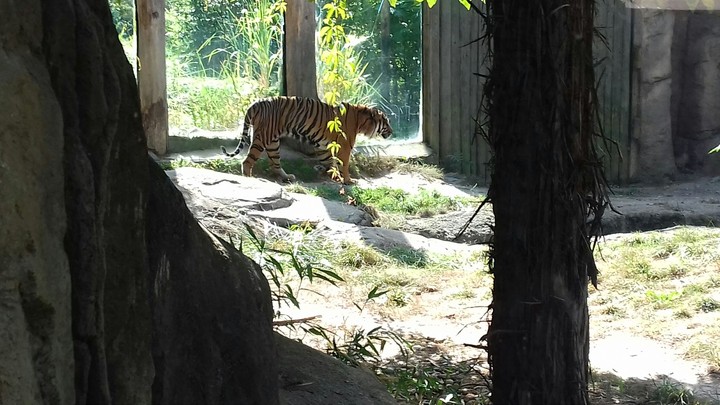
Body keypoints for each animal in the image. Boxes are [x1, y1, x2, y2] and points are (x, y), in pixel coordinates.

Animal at [220, 96, 393, 184]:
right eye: (386, 122)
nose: (392, 132)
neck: (360, 121)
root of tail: (254, 104)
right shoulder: (345, 146)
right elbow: (343, 164)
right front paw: (348, 180)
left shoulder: (323, 146)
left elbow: (331, 162)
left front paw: (332, 175)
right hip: (263, 138)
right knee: (247, 161)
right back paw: (249, 179)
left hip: (273, 142)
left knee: (275, 163)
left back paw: (287, 177)